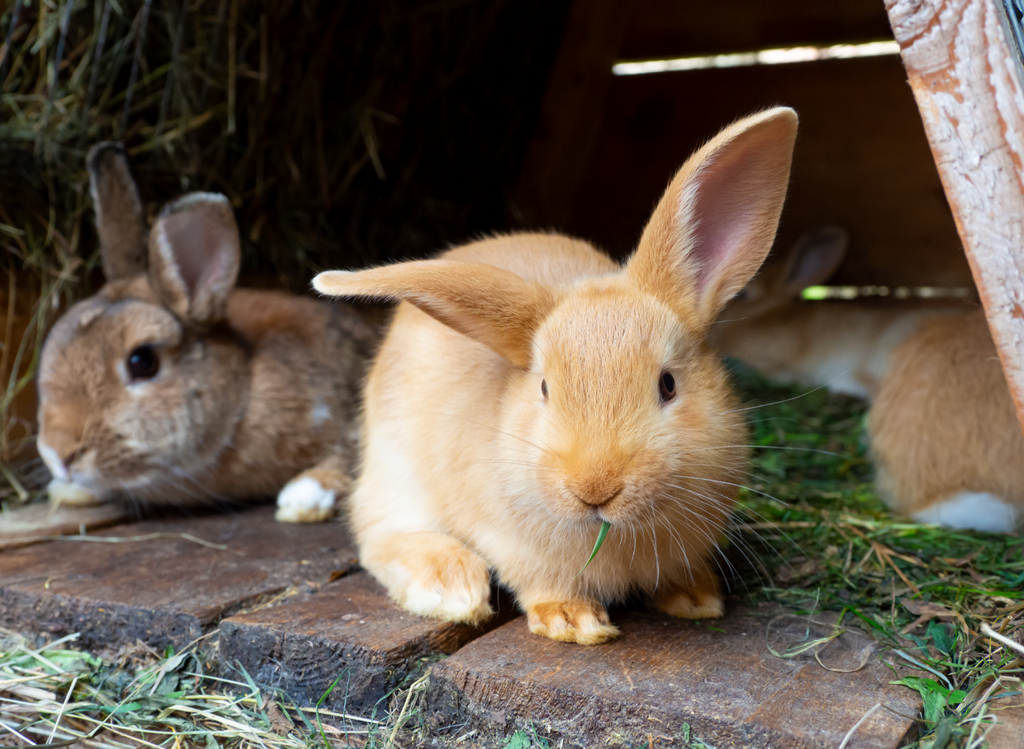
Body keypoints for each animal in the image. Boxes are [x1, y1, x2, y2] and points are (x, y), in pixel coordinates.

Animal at [38, 143, 380, 524]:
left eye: (142, 362)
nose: (58, 455)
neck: (242, 392)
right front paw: (67, 490)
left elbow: (355, 453)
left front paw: (304, 497)